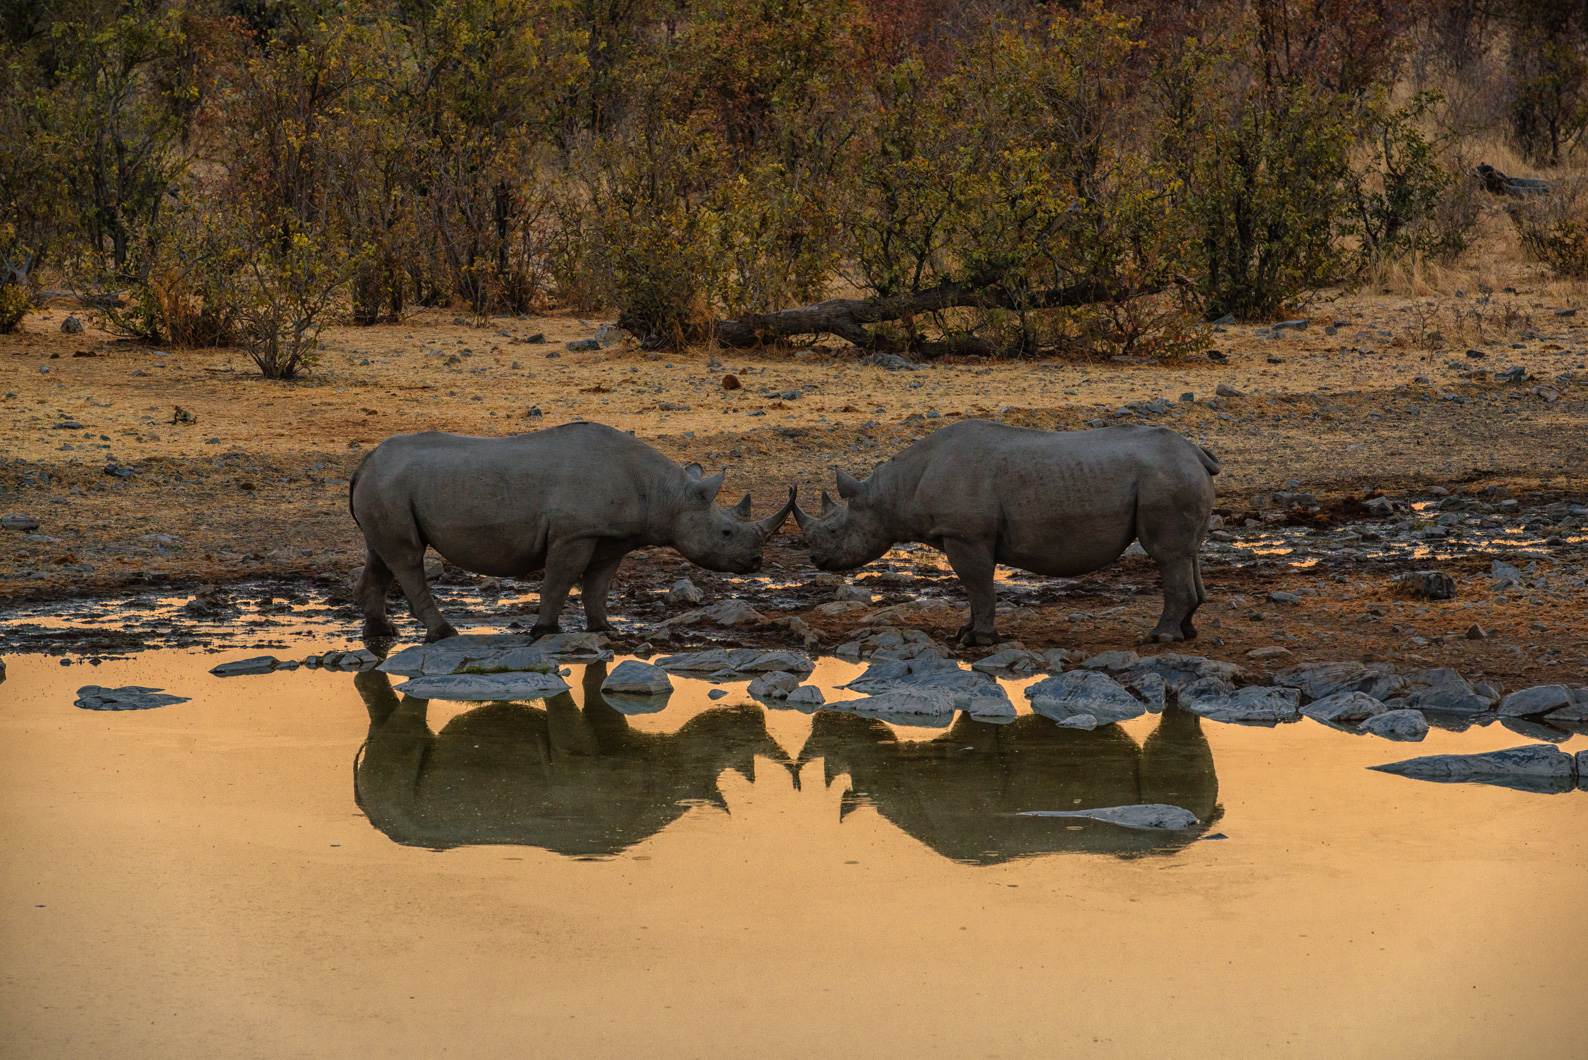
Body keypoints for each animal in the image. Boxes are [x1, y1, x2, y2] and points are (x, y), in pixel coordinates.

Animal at [350, 423, 795, 642]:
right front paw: (545, 631)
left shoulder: (611, 536)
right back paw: (443, 634)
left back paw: (381, 633)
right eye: (726, 533)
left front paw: (606, 629)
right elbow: (559, 581)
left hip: (385, 487)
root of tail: (363, 463)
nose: (756, 562)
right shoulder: (574, 533)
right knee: (407, 557)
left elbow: (597, 585)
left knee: (382, 555)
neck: (667, 494)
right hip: (389, 486)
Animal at [792, 420, 1219, 645]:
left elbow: (979, 586)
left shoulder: (965, 535)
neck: (892, 491)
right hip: (1177, 476)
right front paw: (964, 631)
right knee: (1186, 554)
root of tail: (1197, 453)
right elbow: (974, 589)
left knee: (1166, 555)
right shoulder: (964, 535)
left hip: (1166, 479)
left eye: (835, 529)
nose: (815, 559)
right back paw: (1187, 633)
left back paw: (1158, 638)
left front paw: (976, 640)